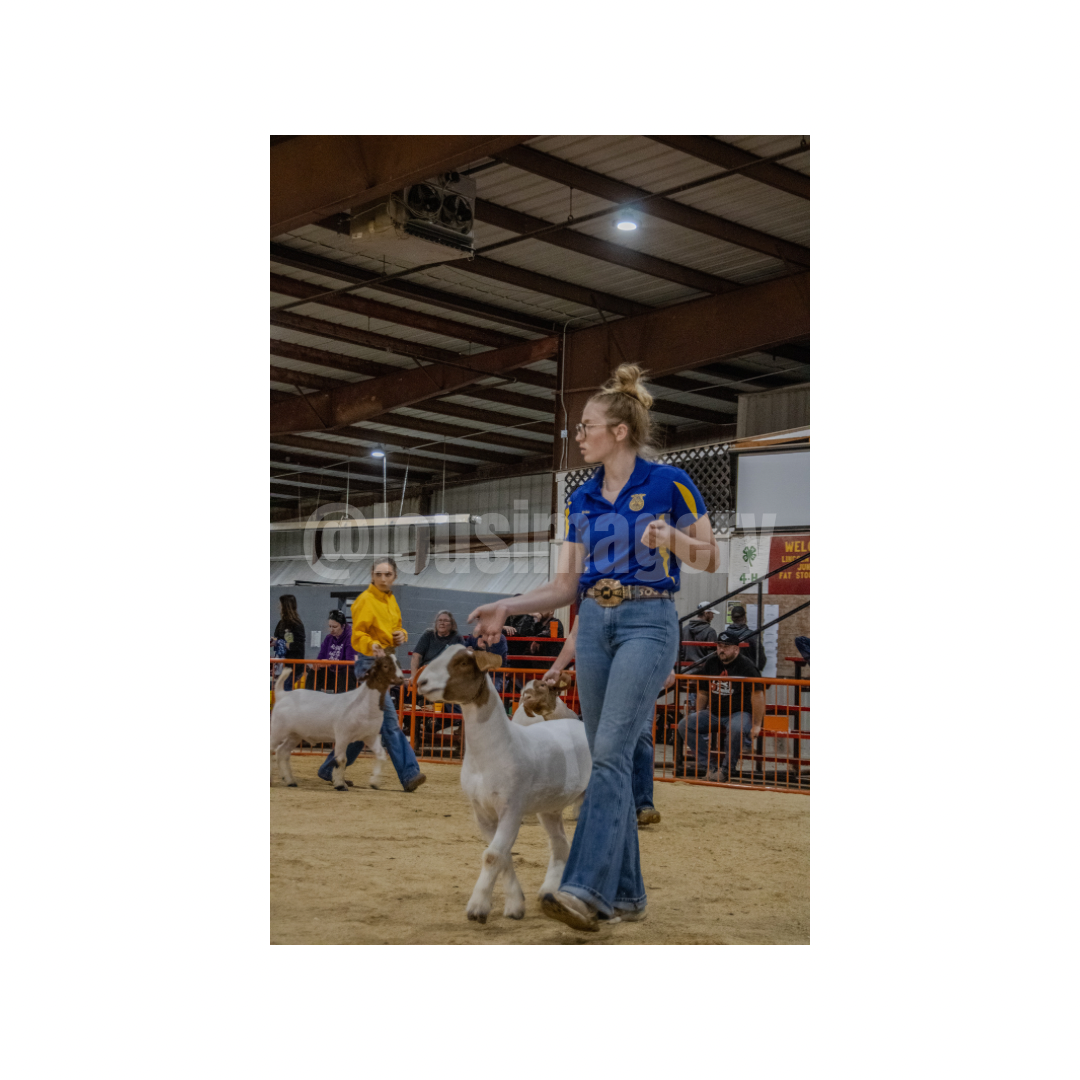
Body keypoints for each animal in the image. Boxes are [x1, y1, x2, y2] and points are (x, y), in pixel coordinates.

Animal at [270, 655, 405, 790]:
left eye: (398, 664)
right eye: (385, 666)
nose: (402, 679)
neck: (364, 704)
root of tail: (282, 694)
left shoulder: (371, 736)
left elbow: (381, 756)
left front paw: (374, 782)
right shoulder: (342, 735)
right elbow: (341, 759)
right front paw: (340, 785)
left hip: (295, 734)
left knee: (282, 752)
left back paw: (290, 781)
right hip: (278, 729)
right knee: (272, 749)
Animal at [417, 645, 591, 924]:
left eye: (463, 662)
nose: (421, 682)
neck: (495, 749)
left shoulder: (512, 807)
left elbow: (491, 856)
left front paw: (477, 907)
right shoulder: (482, 812)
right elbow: (501, 854)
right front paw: (515, 905)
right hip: (549, 807)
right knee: (560, 845)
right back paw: (549, 893)